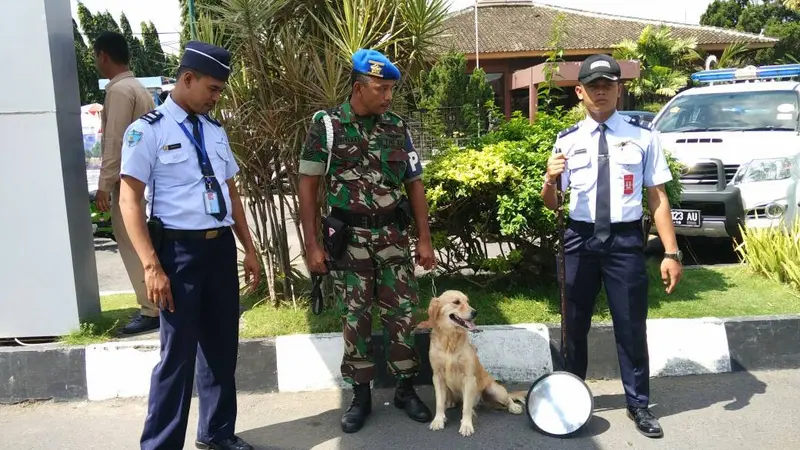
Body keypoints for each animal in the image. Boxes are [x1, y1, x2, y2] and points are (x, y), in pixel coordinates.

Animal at [418, 290, 524, 438]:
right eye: (456, 302)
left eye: (467, 301)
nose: (475, 312)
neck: (450, 338)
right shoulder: (437, 376)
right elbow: (439, 403)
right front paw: (438, 420)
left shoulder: (469, 378)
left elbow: (466, 407)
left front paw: (466, 425)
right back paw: (449, 403)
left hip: (495, 390)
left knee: (508, 397)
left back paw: (514, 406)